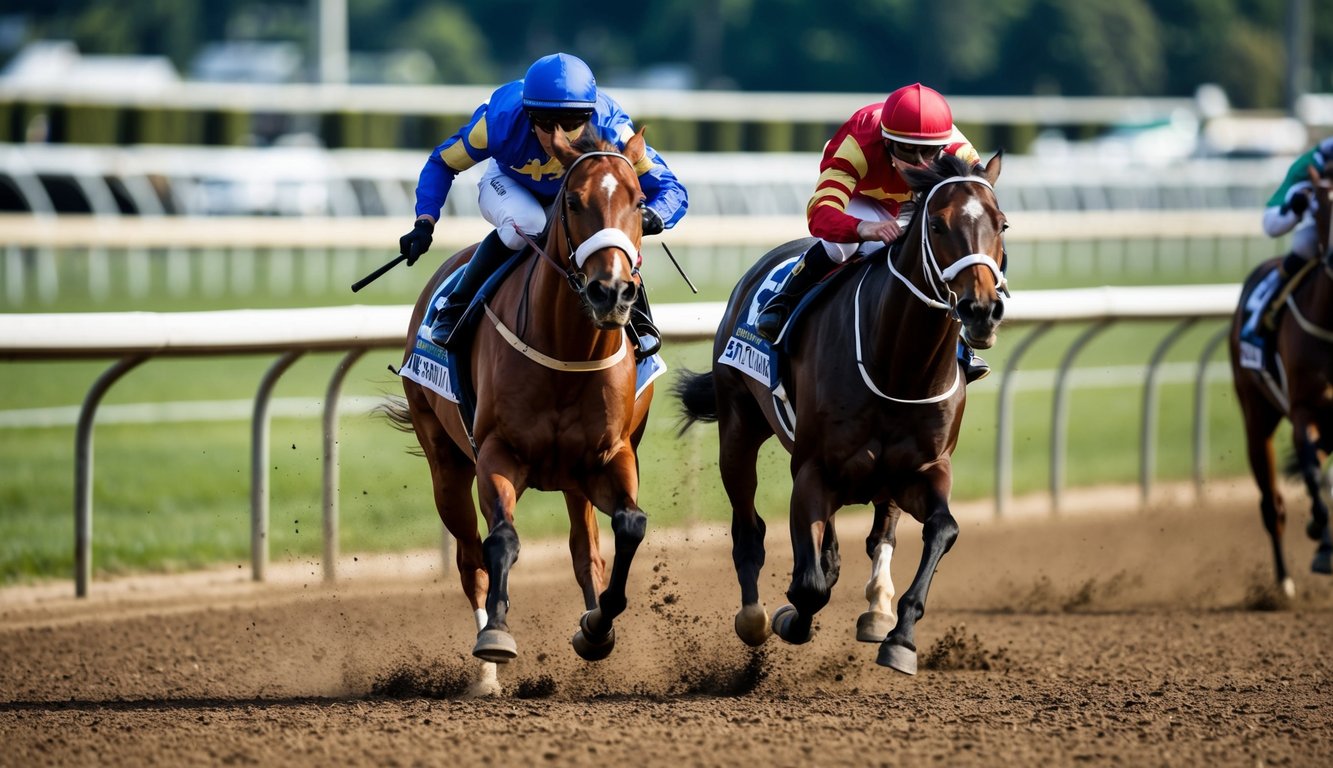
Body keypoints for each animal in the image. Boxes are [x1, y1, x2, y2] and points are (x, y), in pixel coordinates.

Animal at [386, 127, 655, 693]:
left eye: (640, 203)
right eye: (573, 201)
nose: (611, 291)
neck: (567, 350)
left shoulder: (611, 456)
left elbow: (629, 526)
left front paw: (597, 628)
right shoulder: (498, 455)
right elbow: (502, 541)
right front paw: (497, 636)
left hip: (575, 479)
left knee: (585, 549)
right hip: (445, 462)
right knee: (470, 557)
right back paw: (486, 673)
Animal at [671, 154, 1002, 672]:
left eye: (1002, 224)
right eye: (937, 224)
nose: (982, 310)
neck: (898, 366)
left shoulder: (925, 468)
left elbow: (942, 528)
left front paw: (901, 636)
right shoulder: (813, 468)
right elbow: (810, 585)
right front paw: (790, 618)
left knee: (878, 533)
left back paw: (877, 609)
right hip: (739, 427)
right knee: (748, 528)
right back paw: (754, 617)